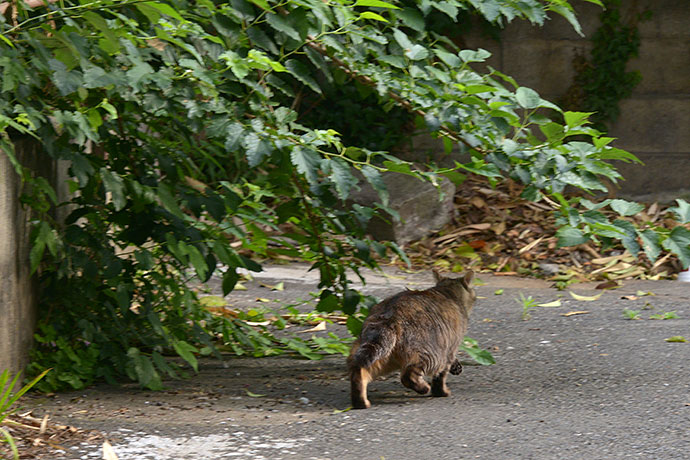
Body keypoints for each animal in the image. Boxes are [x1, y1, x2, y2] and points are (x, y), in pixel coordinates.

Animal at [350, 270, 472, 410]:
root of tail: (389, 317)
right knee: (408, 376)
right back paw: (424, 388)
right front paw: (441, 391)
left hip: (372, 354)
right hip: (428, 354)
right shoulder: (450, 349)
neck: (447, 292)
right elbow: (440, 376)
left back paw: (361, 401)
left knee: (358, 373)